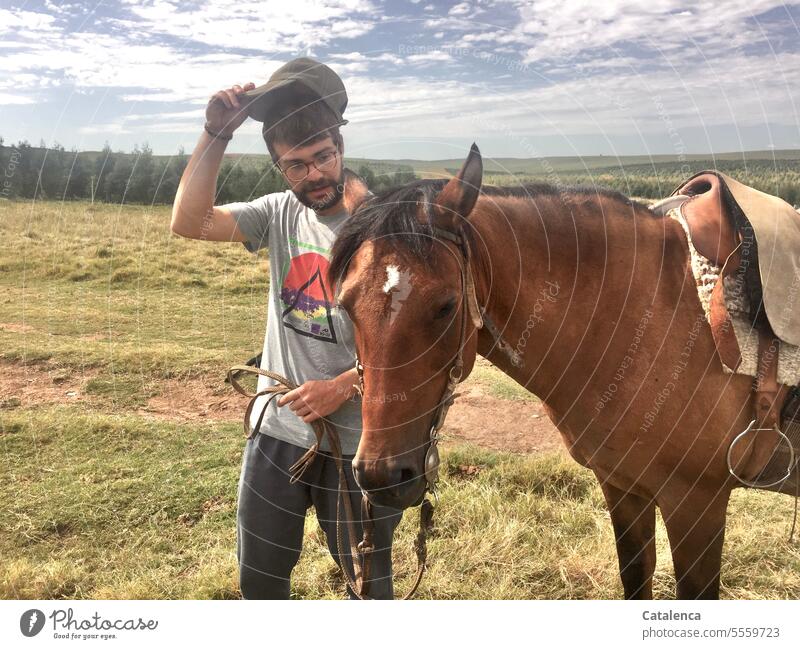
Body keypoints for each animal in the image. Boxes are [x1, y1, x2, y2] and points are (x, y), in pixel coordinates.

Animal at [326, 146, 792, 596]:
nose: (381, 478)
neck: (647, 310)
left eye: (446, 305)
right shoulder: (623, 487)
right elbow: (635, 577)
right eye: (345, 305)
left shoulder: (696, 504)